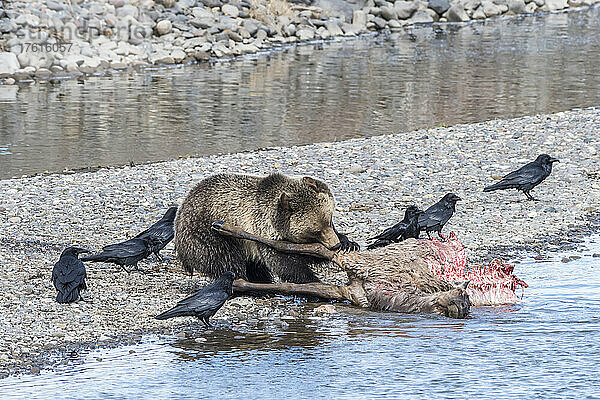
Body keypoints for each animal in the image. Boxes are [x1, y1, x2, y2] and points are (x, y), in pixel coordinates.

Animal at [175, 173, 356, 282]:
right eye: (315, 231)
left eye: (329, 220)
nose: (335, 245)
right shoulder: (264, 234)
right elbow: (285, 264)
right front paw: (311, 280)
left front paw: (349, 243)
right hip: (208, 233)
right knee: (226, 260)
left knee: (253, 265)